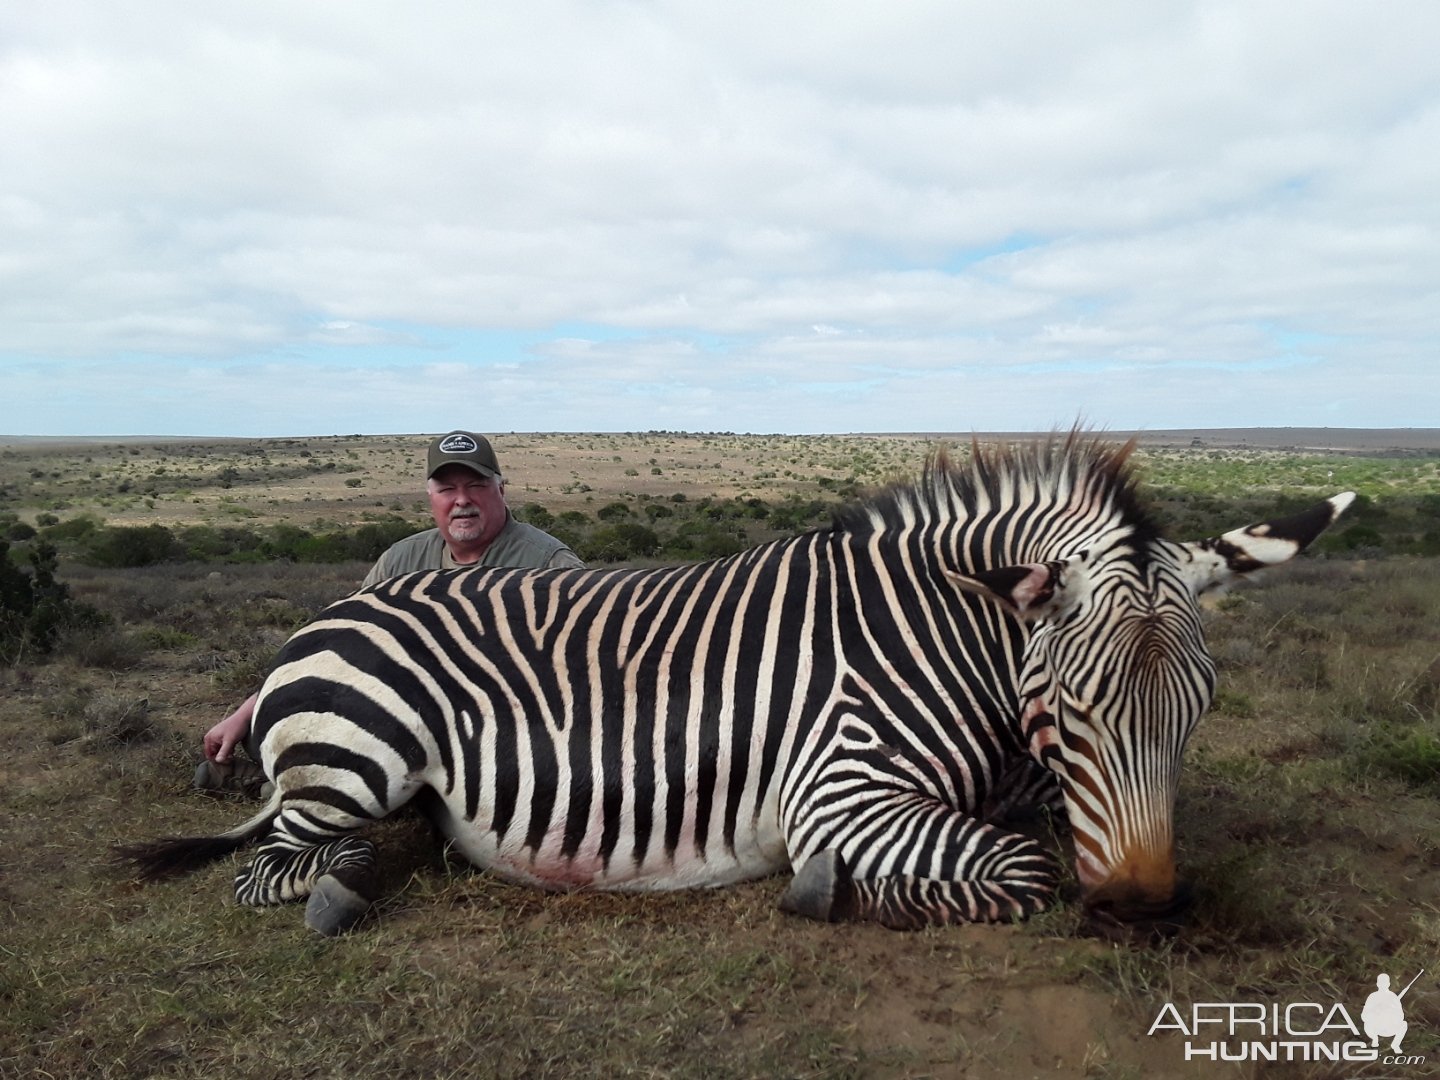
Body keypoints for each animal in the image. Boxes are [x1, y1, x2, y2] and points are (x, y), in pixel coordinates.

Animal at [120, 434, 1347, 933]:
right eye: (1069, 712)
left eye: (1200, 714)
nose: (1144, 905)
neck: (943, 637)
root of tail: (326, 615)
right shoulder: (843, 793)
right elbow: (1022, 867)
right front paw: (834, 892)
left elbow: (1039, 828)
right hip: (354, 762)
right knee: (282, 869)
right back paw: (351, 882)